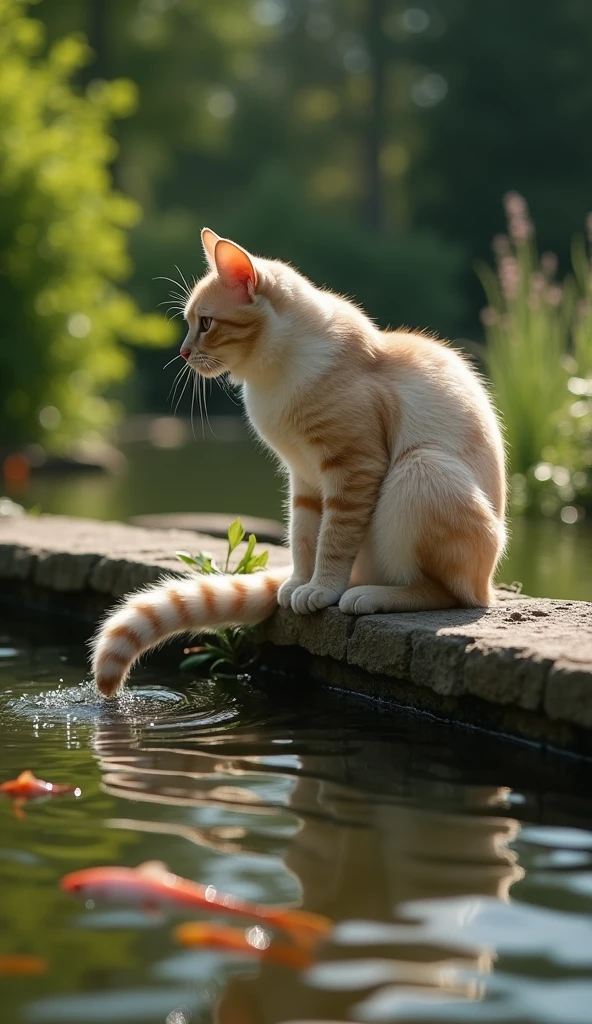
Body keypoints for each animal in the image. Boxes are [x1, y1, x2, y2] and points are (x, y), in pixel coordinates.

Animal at [90, 231, 503, 696]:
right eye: (189, 323)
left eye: (206, 324)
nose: (182, 352)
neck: (270, 380)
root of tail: (490, 583)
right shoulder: (304, 478)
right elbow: (304, 535)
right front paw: (298, 585)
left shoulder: (353, 467)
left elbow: (334, 539)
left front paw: (321, 588)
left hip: (422, 468)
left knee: (453, 593)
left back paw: (371, 596)